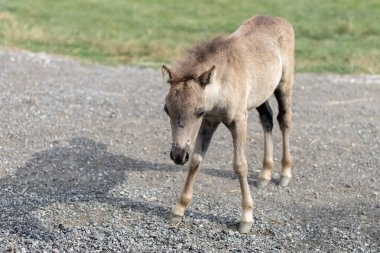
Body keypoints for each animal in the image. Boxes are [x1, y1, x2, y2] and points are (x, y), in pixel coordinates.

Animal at [162, 15, 296, 233]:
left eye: (198, 111)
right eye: (167, 110)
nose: (178, 155)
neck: (222, 85)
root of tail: (279, 19)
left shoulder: (238, 120)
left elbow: (240, 165)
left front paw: (246, 218)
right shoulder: (210, 122)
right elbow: (196, 160)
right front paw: (178, 211)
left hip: (284, 84)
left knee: (284, 120)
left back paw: (284, 174)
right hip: (261, 94)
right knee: (267, 118)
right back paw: (265, 175)